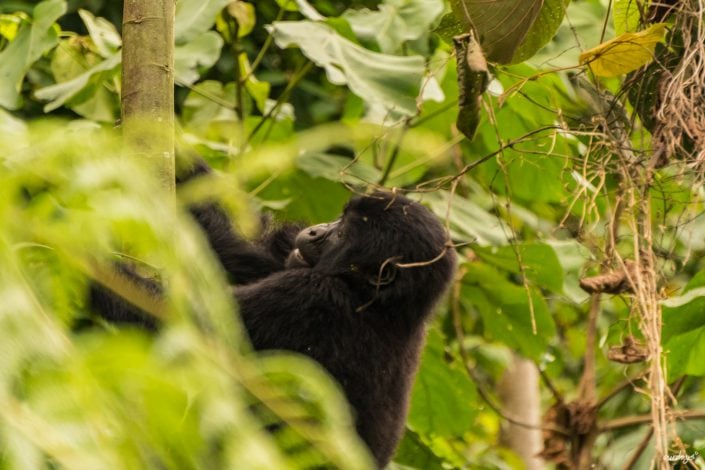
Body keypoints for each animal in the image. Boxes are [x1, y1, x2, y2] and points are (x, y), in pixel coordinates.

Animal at [91, 165, 456, 466]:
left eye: (341, 234)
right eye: (340, 218)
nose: (315, 230)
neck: (381, 303)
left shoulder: (310, 298)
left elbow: (191, 330)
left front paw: (83, 264)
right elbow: (242, 249)